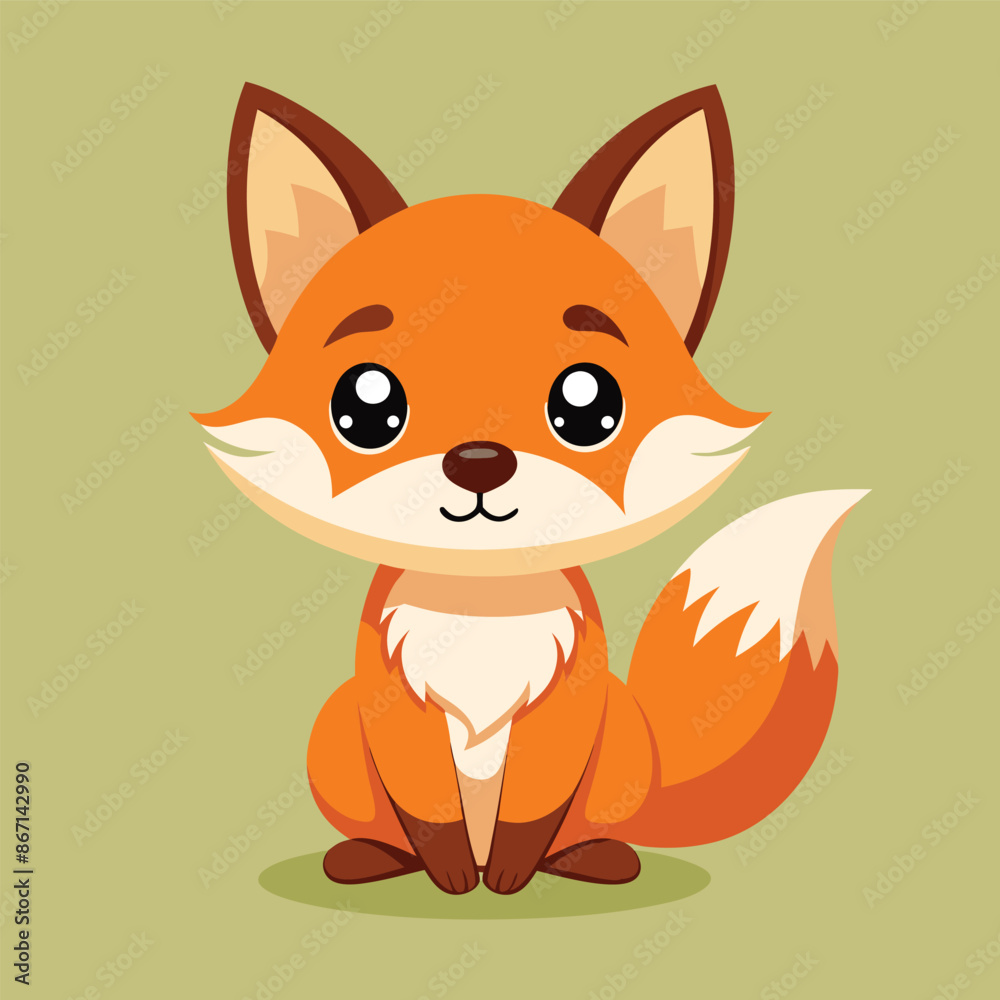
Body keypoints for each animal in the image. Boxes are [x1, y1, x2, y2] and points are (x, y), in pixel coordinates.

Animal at [194, 82, 867, 896]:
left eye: (587, 405)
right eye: (365, 407)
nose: (480, 461)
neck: (483, 602)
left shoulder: (571, 699)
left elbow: (531, 809)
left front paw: (508, 875)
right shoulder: (390, 701)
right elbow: (430, 811)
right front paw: (453, 876)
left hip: (619, 745)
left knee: (581, 827)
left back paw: (590, 859)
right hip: (335, 730)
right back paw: (372, 859)